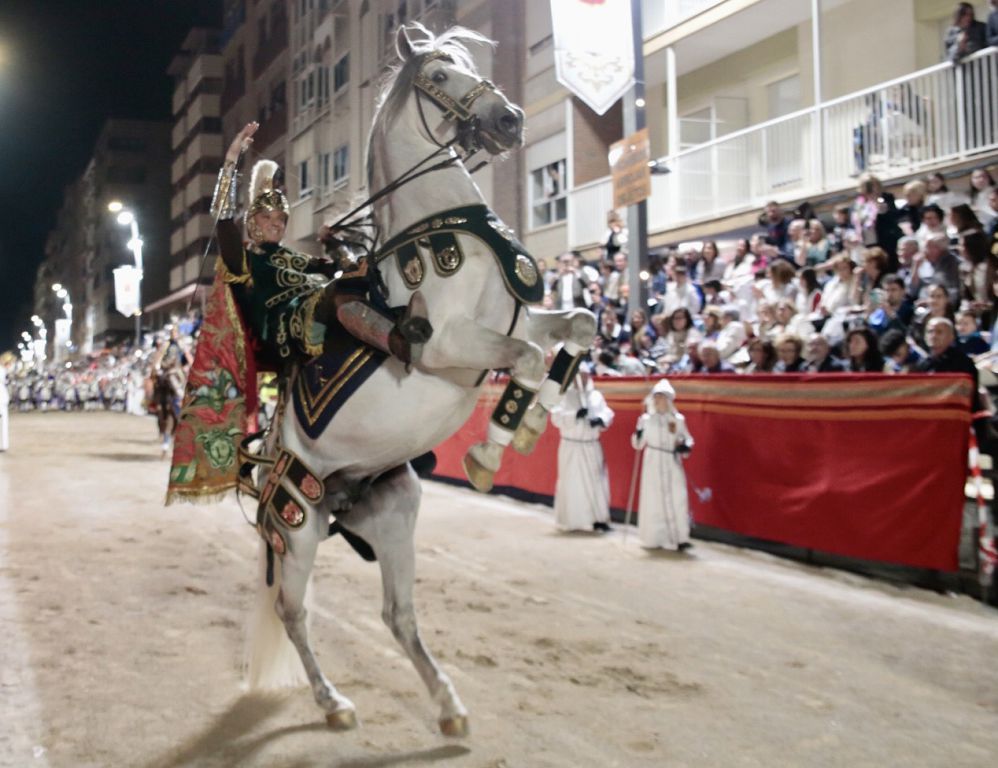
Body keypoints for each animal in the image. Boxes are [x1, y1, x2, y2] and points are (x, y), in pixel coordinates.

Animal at [247, 21, 596, 736]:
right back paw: (334, 703)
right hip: (297, 531)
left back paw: (448, 704)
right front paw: (490, 453)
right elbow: (524, 359)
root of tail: (269, 457)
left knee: (398, 616)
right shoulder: (452, 347)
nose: (509, 118)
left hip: (394, 516)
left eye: (466, 61)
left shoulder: (521, 318)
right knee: (294, 613)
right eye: (437, 76)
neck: (442, 231)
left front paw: (535, 423)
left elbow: (578, 326)